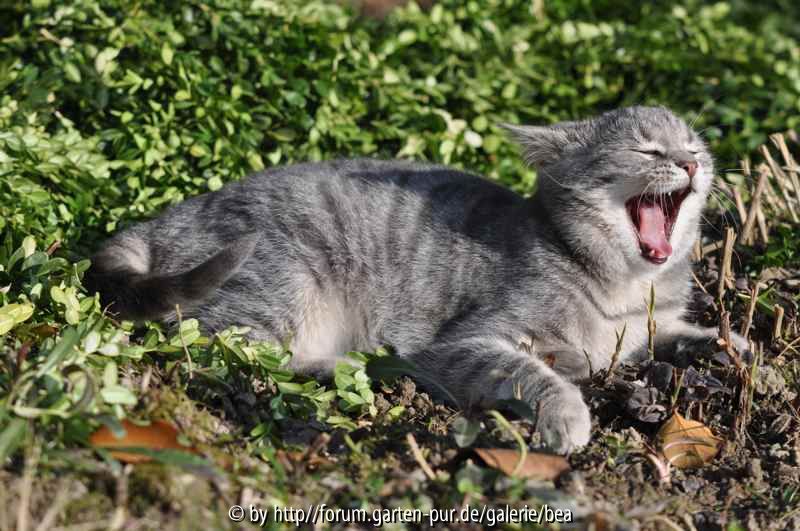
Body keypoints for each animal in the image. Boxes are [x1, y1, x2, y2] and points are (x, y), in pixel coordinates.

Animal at [86, 105, 750, 453]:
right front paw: (566, 414)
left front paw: (728, 347)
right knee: (228, 349)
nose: (690, 162)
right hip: (287, 281)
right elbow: (533, 372)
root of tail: (173, 214)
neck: (626, 289)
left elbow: (678, 334)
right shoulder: (466, 342)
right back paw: (348, 365)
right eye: (647, 150)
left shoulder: (643, 331)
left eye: (695, 146)